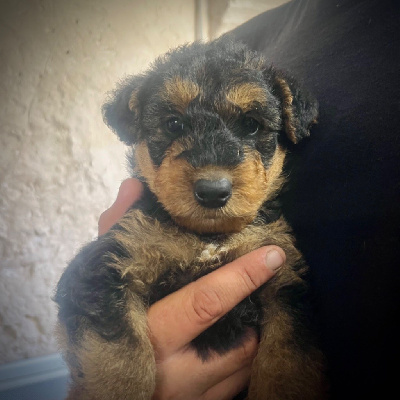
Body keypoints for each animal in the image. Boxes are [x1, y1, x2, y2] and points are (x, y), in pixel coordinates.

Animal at [54, 38, 328, 400]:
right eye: (173, 124)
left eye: (251, 124)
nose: (212, 191)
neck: (206, 237)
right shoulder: (104, 269)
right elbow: (120, 354)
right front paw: (120, 385)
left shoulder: (285, 279)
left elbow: (287, 359)